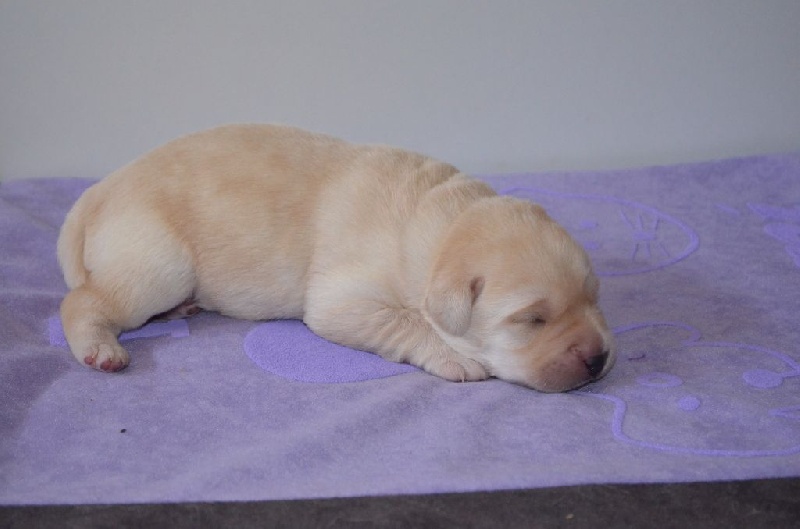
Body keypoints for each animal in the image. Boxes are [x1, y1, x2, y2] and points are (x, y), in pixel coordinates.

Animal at [59, 122, 616, 388]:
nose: (600, 358)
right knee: (83, 301)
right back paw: (101, 349)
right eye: (532, 320)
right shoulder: (343, 298)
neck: (443, 223)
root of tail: (97, 193)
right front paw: (454, 355)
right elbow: (402, 321)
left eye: (594, 299)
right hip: (158, 263)